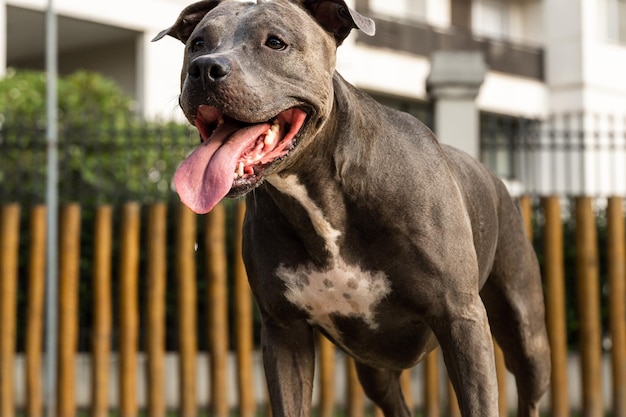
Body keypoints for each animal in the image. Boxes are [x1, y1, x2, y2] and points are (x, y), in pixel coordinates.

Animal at [154, 1, 548, 414]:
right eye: (198, 43)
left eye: (276, 42)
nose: (205, 68)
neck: (322, 197)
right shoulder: (284, 333)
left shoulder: (461, 318)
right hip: (373, 368)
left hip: (528, 338)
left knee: (529, 389)